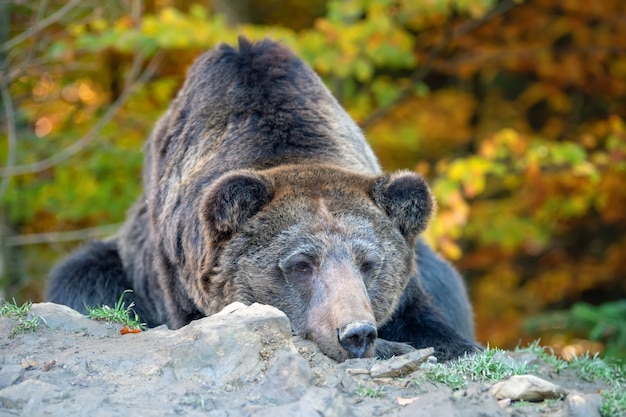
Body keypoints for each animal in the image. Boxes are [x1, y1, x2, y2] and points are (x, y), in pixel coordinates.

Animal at [48, 36, 478, 360]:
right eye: (300, 264)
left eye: (369, 263)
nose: (356, 333)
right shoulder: (180, 278)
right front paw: (395, 346)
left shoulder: (410, 287)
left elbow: (436, 325)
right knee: (80, 275)